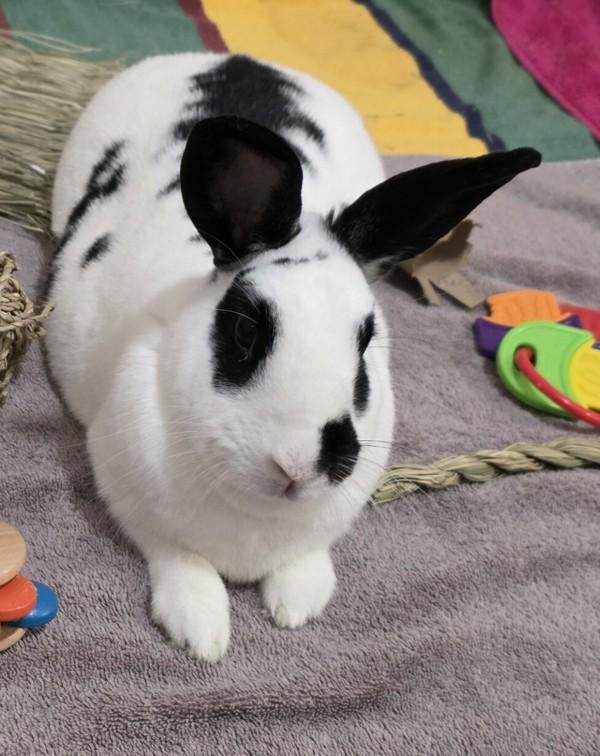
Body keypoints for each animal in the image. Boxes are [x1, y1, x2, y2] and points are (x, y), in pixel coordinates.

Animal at [45, 52, 541, 662]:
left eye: (366, 343)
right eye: (244, 332)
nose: (300, 466)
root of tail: (234, 58)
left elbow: (306, 559)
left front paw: (298, 604)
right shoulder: (131, 498)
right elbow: (180, 560)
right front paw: (201, 632)